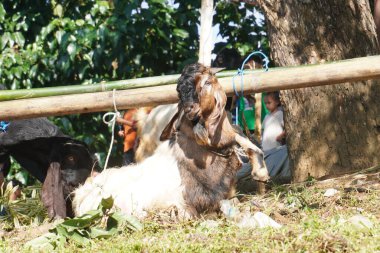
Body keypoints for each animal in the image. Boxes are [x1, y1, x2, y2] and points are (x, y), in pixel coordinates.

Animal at [73, 63, 270, 219]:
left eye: (207, 82)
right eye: (179, 91)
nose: (190, 109)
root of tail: (82, 192)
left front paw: (260, 172)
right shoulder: (181, 205)